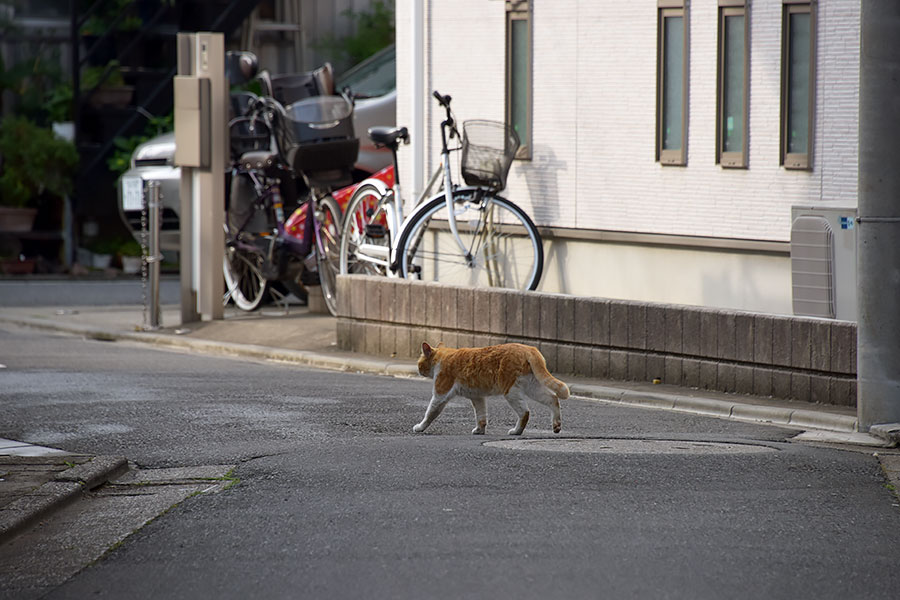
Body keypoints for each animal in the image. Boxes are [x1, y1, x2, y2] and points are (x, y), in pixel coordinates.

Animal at [414, 342, 568, 436]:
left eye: (419, 363)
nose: (418, 370)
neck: (442, 358)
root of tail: (529, 348)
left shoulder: (440, 394)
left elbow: (430, 413)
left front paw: (420, 427)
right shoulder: (477, 397)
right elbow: (481, 415)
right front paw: (480, 430)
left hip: (510, 391)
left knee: (525, 412)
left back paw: (516, 431)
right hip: (532, 387)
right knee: (553, 398)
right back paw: (556, 425)